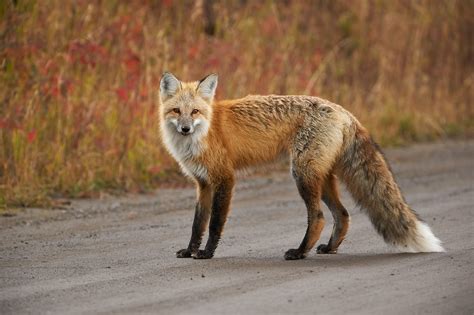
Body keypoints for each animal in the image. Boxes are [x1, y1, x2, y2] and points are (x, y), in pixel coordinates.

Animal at [159, 73, 444, 260]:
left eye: (195, 112)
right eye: (176, 111)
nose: (185, 129)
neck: (203, 133)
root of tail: (344, 112)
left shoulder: (224, 179)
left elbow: (215, 223)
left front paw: (206, 253)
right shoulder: (203, 184)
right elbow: (197, 223)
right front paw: (190, 250)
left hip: (302, 174)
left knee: (318, 217)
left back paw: (300, 251)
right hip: (321, 176)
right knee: (343, 215)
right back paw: (329, 248)